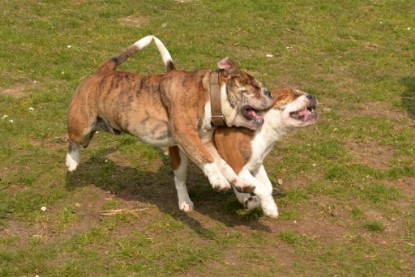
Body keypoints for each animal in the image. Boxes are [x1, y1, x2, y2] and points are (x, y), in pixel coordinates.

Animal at [65, 35, 274, 192]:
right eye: (255, 87)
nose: (269, 92)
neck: (210, 95)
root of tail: (101, 72)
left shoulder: (205, 140)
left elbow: (222, 164)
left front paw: (240, 183)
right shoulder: (186, 134)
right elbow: (206, 159)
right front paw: (219, 182)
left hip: (102, 126)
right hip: (81, 126)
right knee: (72, 140)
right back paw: (72, 161)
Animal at [169, 88, 318, 216]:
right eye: (293, 94)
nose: (312, 96)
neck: (265, 128)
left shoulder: (256, 163)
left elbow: (267, 187)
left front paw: (258, 201)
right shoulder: (239, 167)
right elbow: (262, 188)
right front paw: (270, 208)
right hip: (182, 156)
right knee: (179, 180)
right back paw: (185, 202)